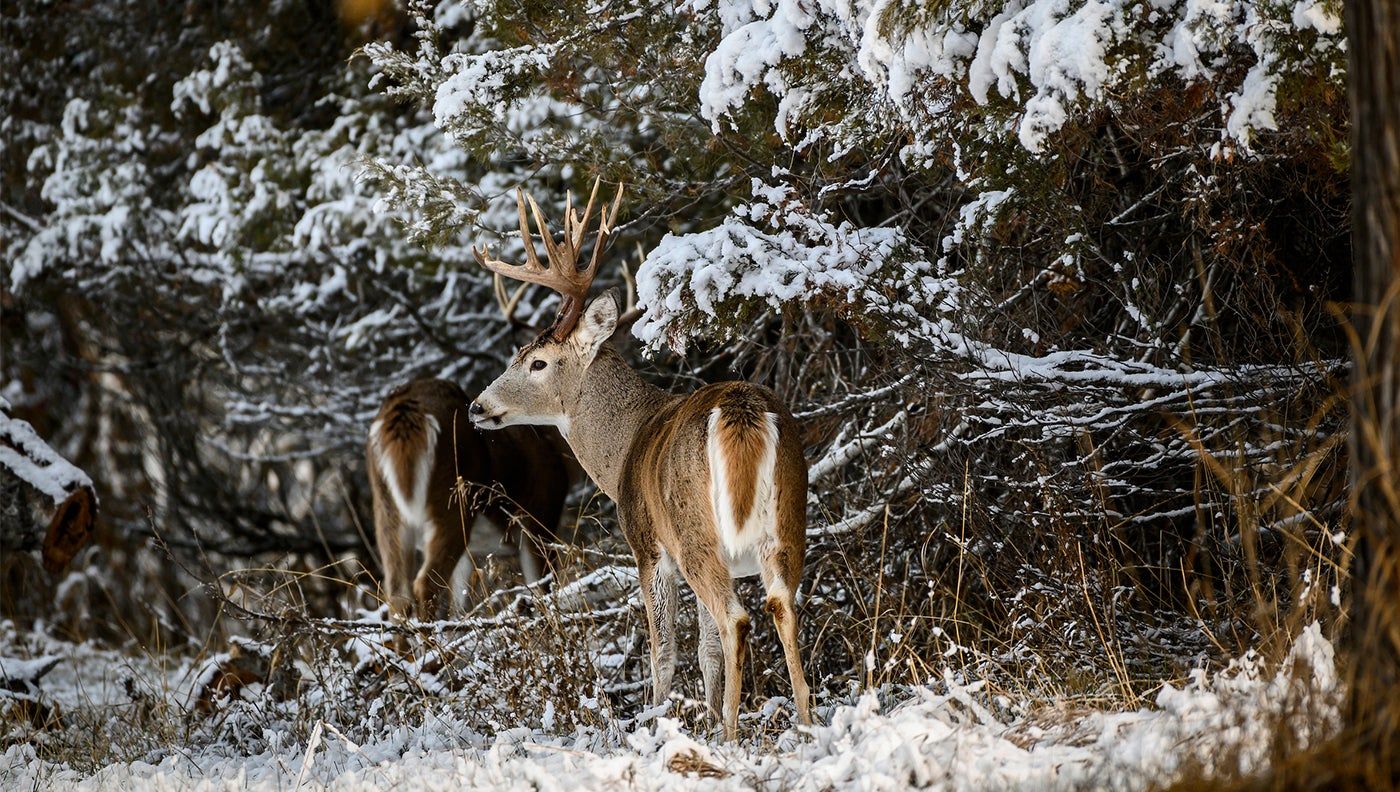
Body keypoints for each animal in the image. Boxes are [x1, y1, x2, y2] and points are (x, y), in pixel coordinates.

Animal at [466, 179, 811, 739]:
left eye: (536, 362)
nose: (477, 406)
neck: (625, 444)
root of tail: (742, 413)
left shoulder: (647, 544)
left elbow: (664, 651)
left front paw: (659, 723)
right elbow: (706, 648)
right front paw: (703, 717)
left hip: (693, 531)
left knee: (736, 619)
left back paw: (732, 734)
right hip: (787, 519)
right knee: (780, 605)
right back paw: (805, 723)